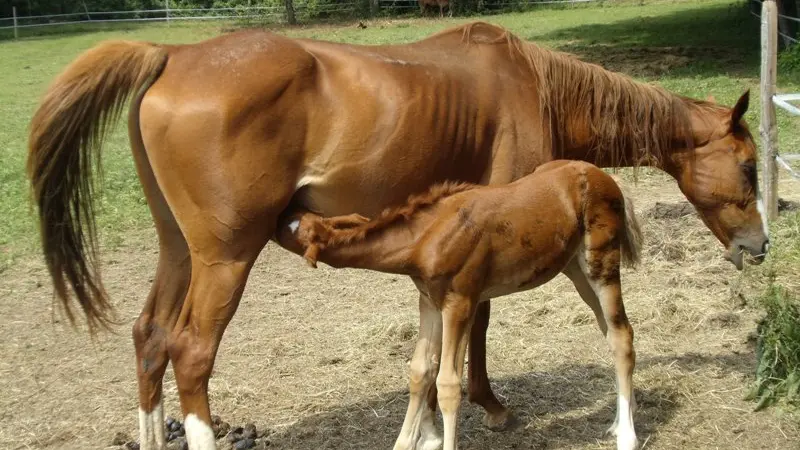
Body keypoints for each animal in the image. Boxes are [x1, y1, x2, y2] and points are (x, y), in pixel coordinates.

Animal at [278, 161, 640, 450]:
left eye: (292, 228)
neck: (426, 236)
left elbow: (449, 384)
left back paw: (627, 436)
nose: (282, 210)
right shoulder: (429, 301)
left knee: (622, 335)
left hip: (600, 264)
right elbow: (420, 371)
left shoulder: (460, 301)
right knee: (611, 332)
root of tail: (606, 178)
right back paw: (619, 422)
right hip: (576, 270)